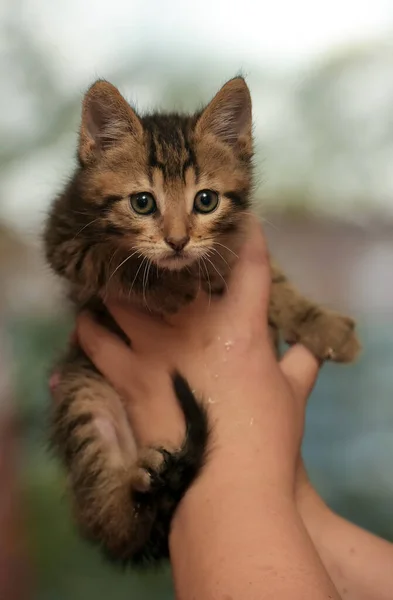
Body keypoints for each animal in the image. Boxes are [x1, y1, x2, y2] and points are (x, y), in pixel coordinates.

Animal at [43, 76, 358, 568]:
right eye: (142, 203)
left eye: (205, 201)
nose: (177, 241)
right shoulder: (61, 235)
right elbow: (112, 259)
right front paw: (165, 285)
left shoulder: (239, 242)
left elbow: (277, 283)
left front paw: (320, 322)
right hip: (82, 390)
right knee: (106, 522)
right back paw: (129, 501)